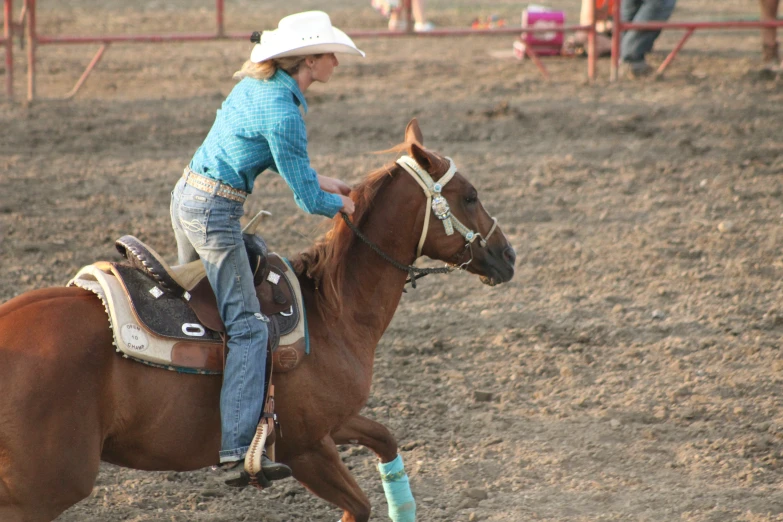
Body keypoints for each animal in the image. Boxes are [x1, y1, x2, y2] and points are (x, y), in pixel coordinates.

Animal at [0, 120, 516, 520]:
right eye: (470, 196)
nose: (508, 255)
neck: (333, 311)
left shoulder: (329, 423)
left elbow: (385, 440)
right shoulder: (304, 448)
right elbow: (358, 505)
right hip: (42, 491)